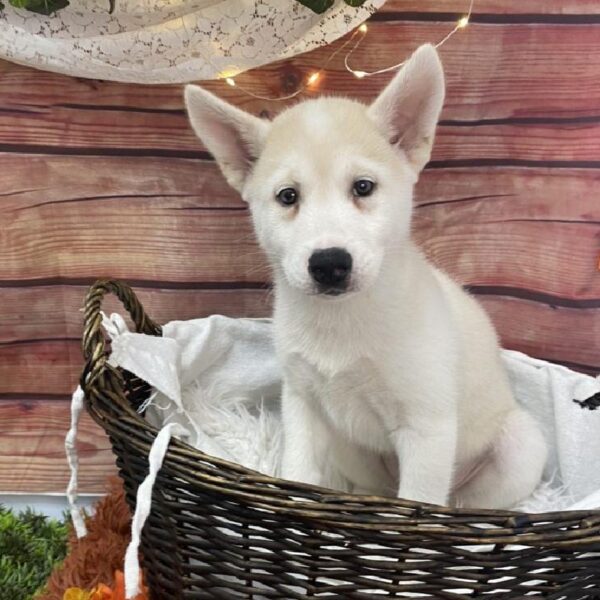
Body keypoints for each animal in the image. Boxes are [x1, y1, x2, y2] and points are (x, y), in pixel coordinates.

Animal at [185, 44, 548, 508]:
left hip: (519, 447)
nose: (329, 264)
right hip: (352, 452)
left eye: (363, 187)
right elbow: (298, 473)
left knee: (461, 505)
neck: (343, 321)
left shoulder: (426, 427)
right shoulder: (302, 403)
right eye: (288, 196)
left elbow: (420, 504)